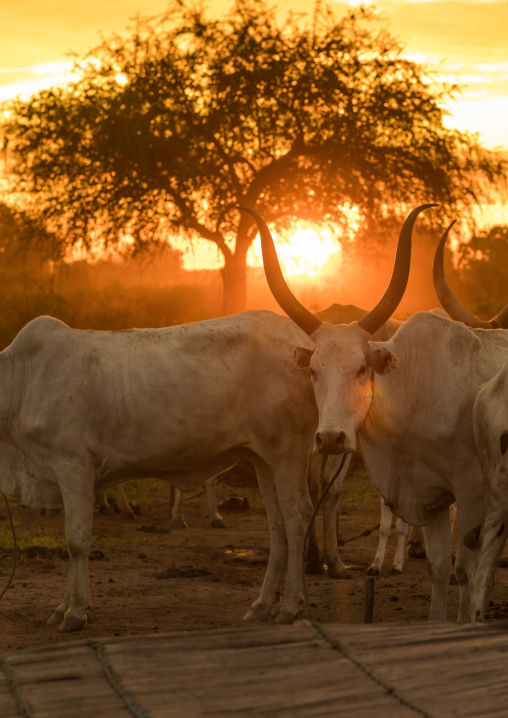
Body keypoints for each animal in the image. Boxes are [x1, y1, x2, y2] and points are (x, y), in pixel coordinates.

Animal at [244, 205, 508, 622]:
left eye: (362, 369)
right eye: (313, 371)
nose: (330, 438)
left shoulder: (471, 493)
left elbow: (466, 571)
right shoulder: (431, 496)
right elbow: (438, 567)